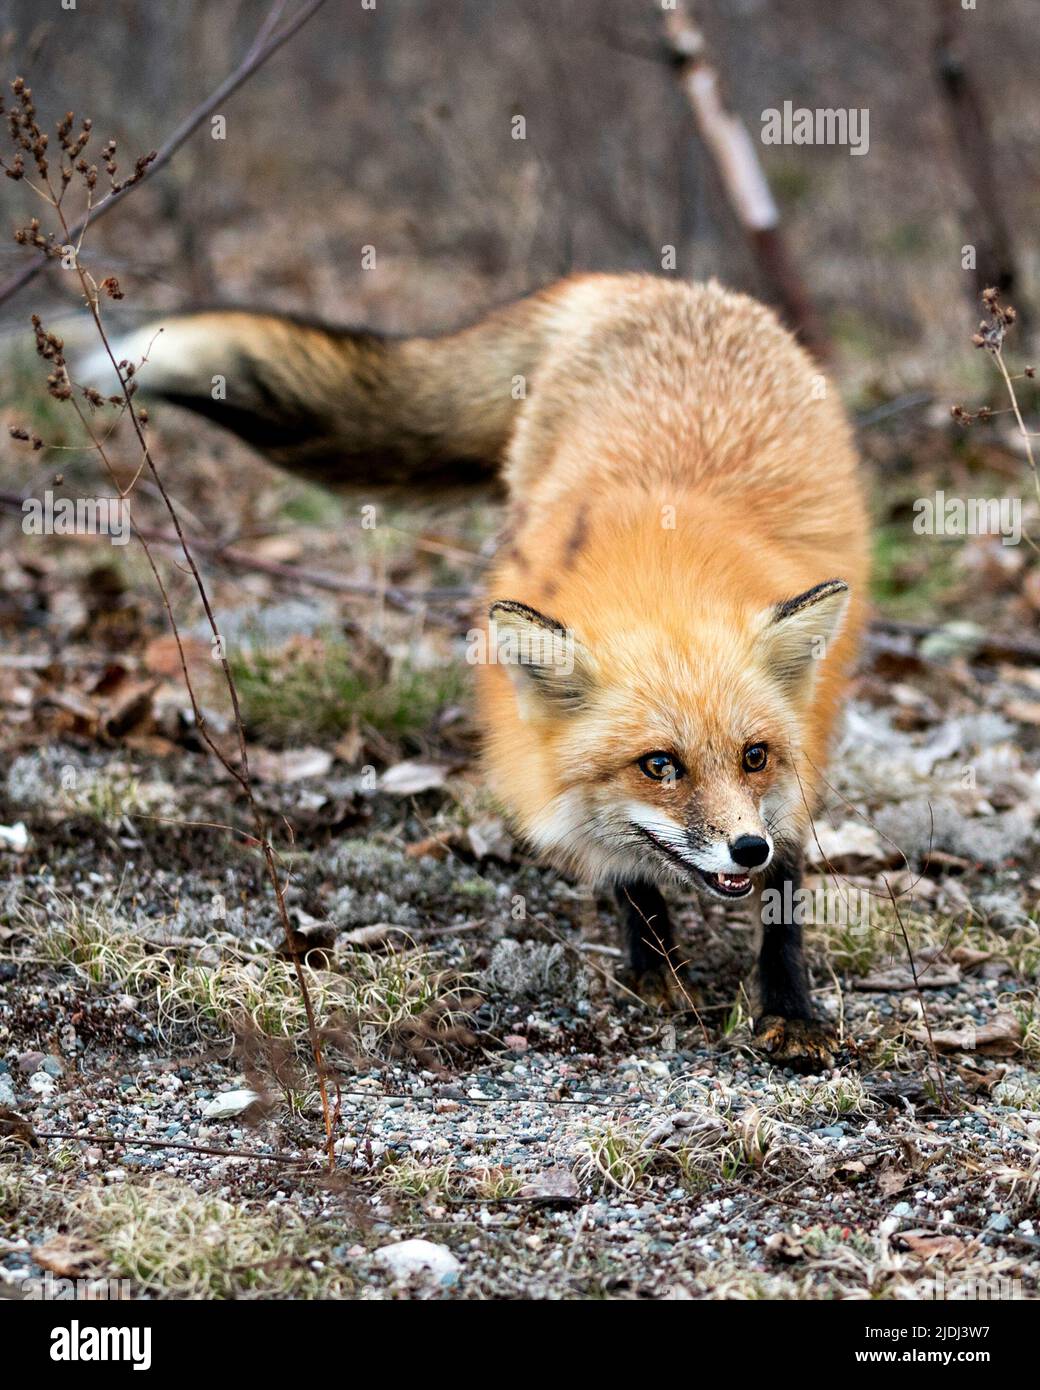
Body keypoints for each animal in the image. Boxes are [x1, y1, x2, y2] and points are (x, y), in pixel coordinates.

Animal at [103, 276, 867, 1067]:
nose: (746, 847)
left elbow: (785, 899)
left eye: (755, 756)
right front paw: (655, 966)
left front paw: (790, 1010)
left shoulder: (799, 765)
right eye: (659, 765)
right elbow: (626, 871)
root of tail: (651, 286)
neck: (664, 567)